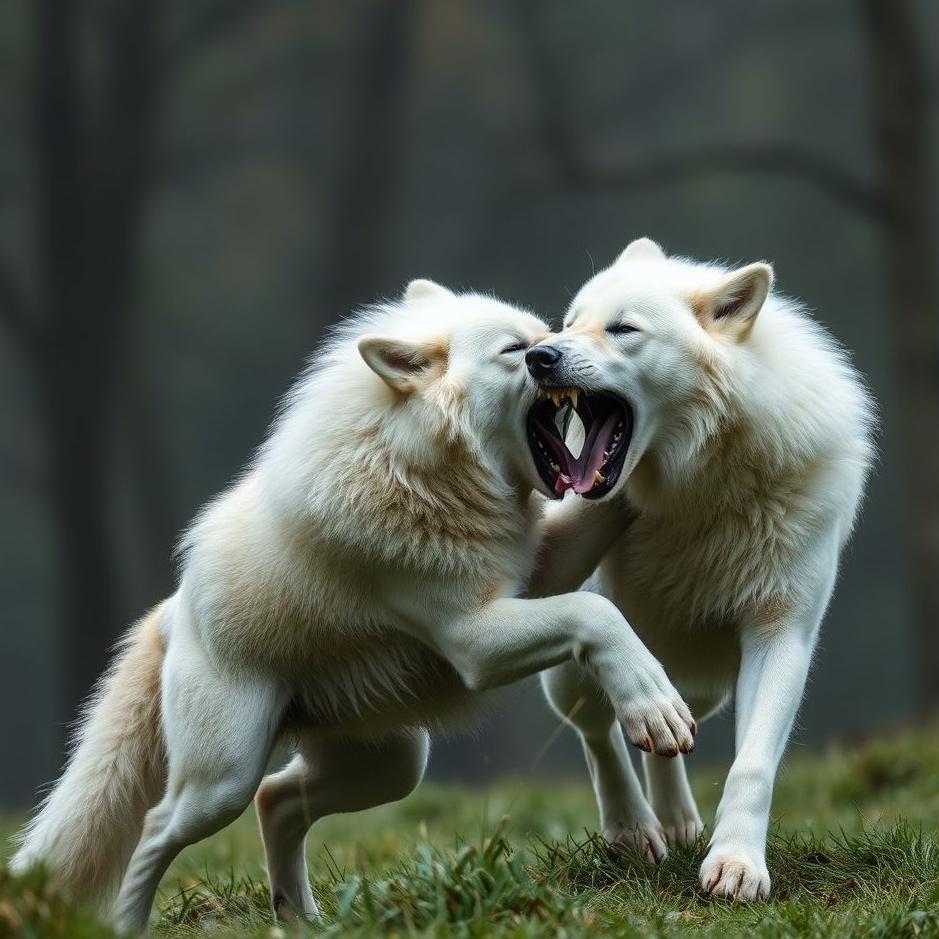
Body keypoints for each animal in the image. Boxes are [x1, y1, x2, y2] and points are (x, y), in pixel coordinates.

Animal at [12, 279, 695, 932]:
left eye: (544, 333)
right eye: (514, 350)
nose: (552, 355)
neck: (422, 471)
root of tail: (172, 613)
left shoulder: (533, 575)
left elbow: (596, 536)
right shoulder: (473, 640)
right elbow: (597, 616)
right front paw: (656, 709)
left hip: (392, 764)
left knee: (276, 800)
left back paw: (302, 919)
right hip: (221, 781)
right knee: (156, 832)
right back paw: (128, 926)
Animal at [525, 238, 875, 900]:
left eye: (623, 329)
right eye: (568, 323)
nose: (537, 355)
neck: (704, 488)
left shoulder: (781, 632)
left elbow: (751, 766)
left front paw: (736, 866)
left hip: (708, 689)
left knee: (667, 739)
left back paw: (678, 821)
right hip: (570, 680)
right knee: (602, 734)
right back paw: (636, 829)